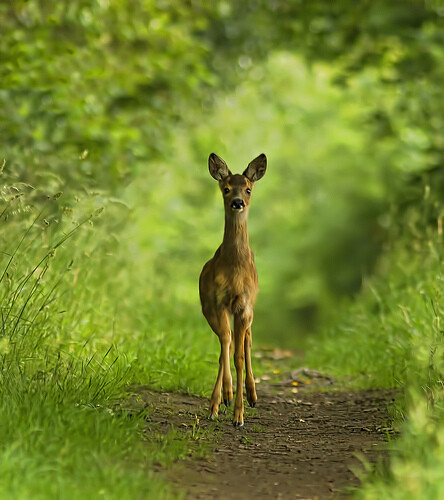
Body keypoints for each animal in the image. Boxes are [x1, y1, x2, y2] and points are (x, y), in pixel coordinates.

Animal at [199, 151, 268, 426]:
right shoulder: (217, 303)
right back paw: (224, 398)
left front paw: (239, 415)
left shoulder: (244, 305)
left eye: (248, 189)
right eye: (226, 188)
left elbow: (239, 355)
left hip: (250, 311)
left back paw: (252, 395)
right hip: (210, 310)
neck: (234, 269)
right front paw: (219, 403)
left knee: (246, 341)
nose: (238, 202)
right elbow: (225, 349)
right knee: (226, 343)